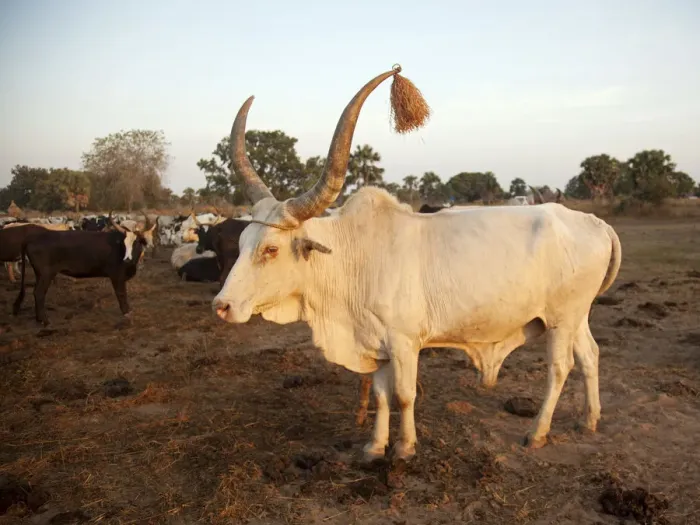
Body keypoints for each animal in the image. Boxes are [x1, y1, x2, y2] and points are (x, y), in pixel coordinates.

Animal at [12, 215, 156, 325]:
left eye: (137, 242)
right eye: (124, 244)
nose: (127, 259)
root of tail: (33, 237)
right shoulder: (117, 276)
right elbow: (122, 295)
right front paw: (127, 313)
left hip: (40, 274)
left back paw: (38, 319)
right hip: (46, 274)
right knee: (39, 293)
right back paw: (44, 321)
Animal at [211, 66, 622, 461]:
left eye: (271, 249)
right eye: (242, 242)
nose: (222, 306)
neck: (352, 257)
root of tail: (595, 223)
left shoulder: (404, 342)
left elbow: (404, 395)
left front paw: (405, 448)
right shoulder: (376, 346)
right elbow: (380, 396)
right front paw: (374, 447)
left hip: (561, 319)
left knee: (560, 368)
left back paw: (537, 432)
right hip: (576, 317)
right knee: (590, 355)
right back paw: (589, 419)